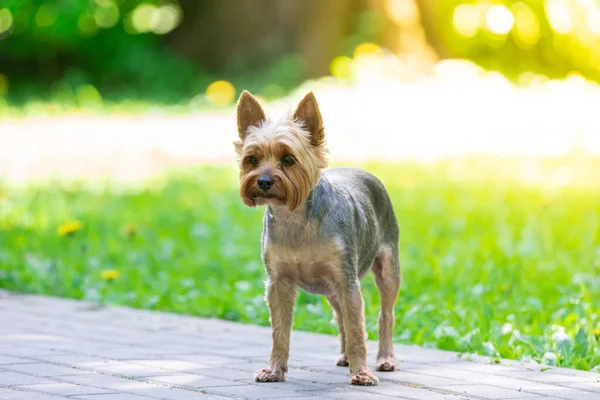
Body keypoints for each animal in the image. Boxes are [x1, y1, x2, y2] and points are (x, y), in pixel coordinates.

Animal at [237, 90, 400, 384]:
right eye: (252, 159)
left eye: (288, 159)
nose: (264, 181)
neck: (295, 218)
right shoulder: (278, 283)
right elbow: (280, 331)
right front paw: (274, 369)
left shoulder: (347, 279)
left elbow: (357, 328)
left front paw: (361, 373)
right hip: (331, 288)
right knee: (341, 316)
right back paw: (346, 356)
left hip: (387, 268)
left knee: (385, 314)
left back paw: (385, 359)